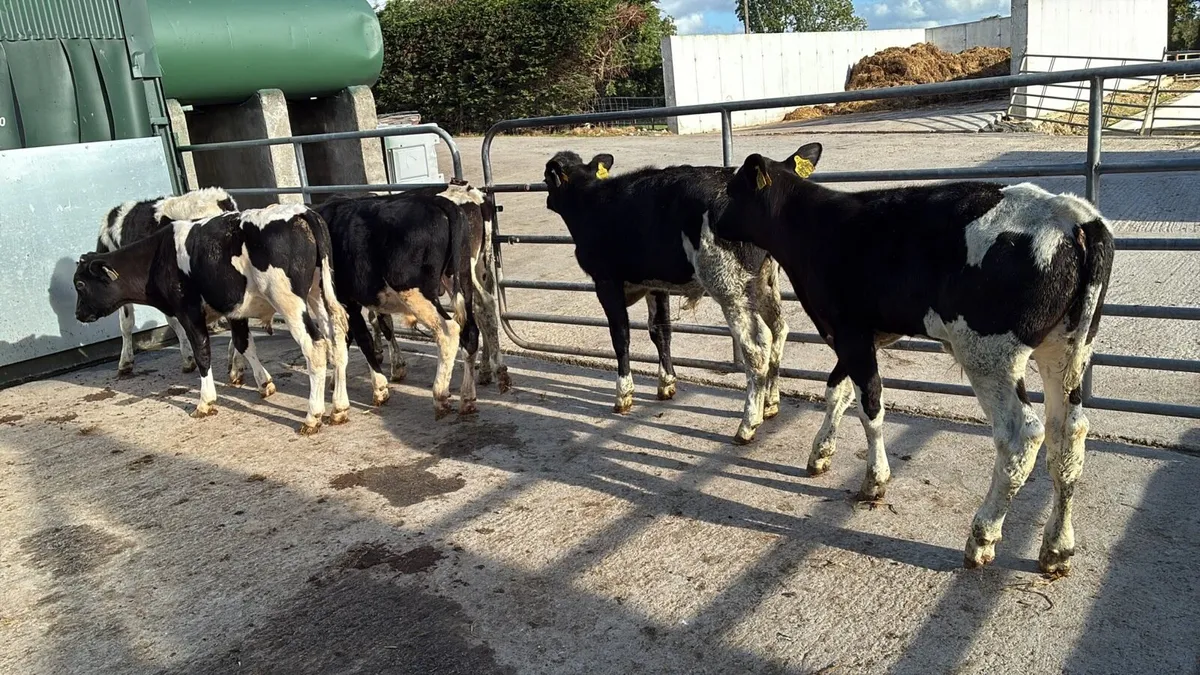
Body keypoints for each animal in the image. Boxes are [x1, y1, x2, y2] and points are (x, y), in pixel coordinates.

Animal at [314, 191, 479, 418]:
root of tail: (438, 201)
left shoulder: (346, 299)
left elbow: (362, 339)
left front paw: (379, 388)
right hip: (462, 277)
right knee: (470, 333)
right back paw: (467, 398)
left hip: (413, 290)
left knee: (448, 331)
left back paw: (440, 395)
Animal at [544, 151, 788, 444]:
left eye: (546, 178)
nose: (546, 199)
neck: (591, 202)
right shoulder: (655, 284)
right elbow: (660, 331)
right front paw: (666, 384)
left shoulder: (606, 282)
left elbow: (620, 337)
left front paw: (623, 394)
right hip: (765, 280)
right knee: (779, 329)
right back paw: (771, 404)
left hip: (730, 287)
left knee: (757, 346)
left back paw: (748, 424)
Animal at [711, 143, 1114, 574]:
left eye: (734, 188)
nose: (713, 222)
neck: (815, 228)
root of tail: (1074, 217)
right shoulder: (853, 334)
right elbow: (838, 391)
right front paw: (821, 454)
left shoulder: (850, 330)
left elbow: (870, 406)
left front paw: (874, 480)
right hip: (1066, 348)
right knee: (1068, 435)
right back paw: (1057, 547)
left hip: (990, 353)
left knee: (1022, 436)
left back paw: (982, 537)